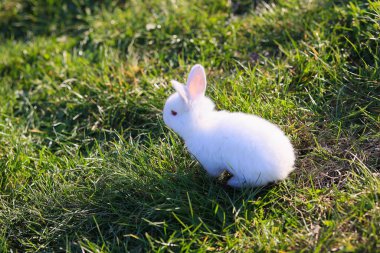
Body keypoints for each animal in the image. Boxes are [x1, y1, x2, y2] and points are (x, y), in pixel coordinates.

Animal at [162, 64, 296, 188]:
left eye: (173, 113)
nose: (164, 119)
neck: (199, 123)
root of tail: (285, 169)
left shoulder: (210, 163)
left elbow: (214, 173)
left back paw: (232, 182)